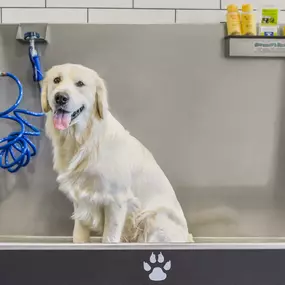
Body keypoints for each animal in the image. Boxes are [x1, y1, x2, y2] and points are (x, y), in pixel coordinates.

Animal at [41, 62, 193, 242]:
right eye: (56, 80)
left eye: (80, 83)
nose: (60, 97)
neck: (83, 140)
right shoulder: (80, 199)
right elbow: (79, 235)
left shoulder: (116, 200)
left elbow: (110, 238)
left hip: (152, 217)